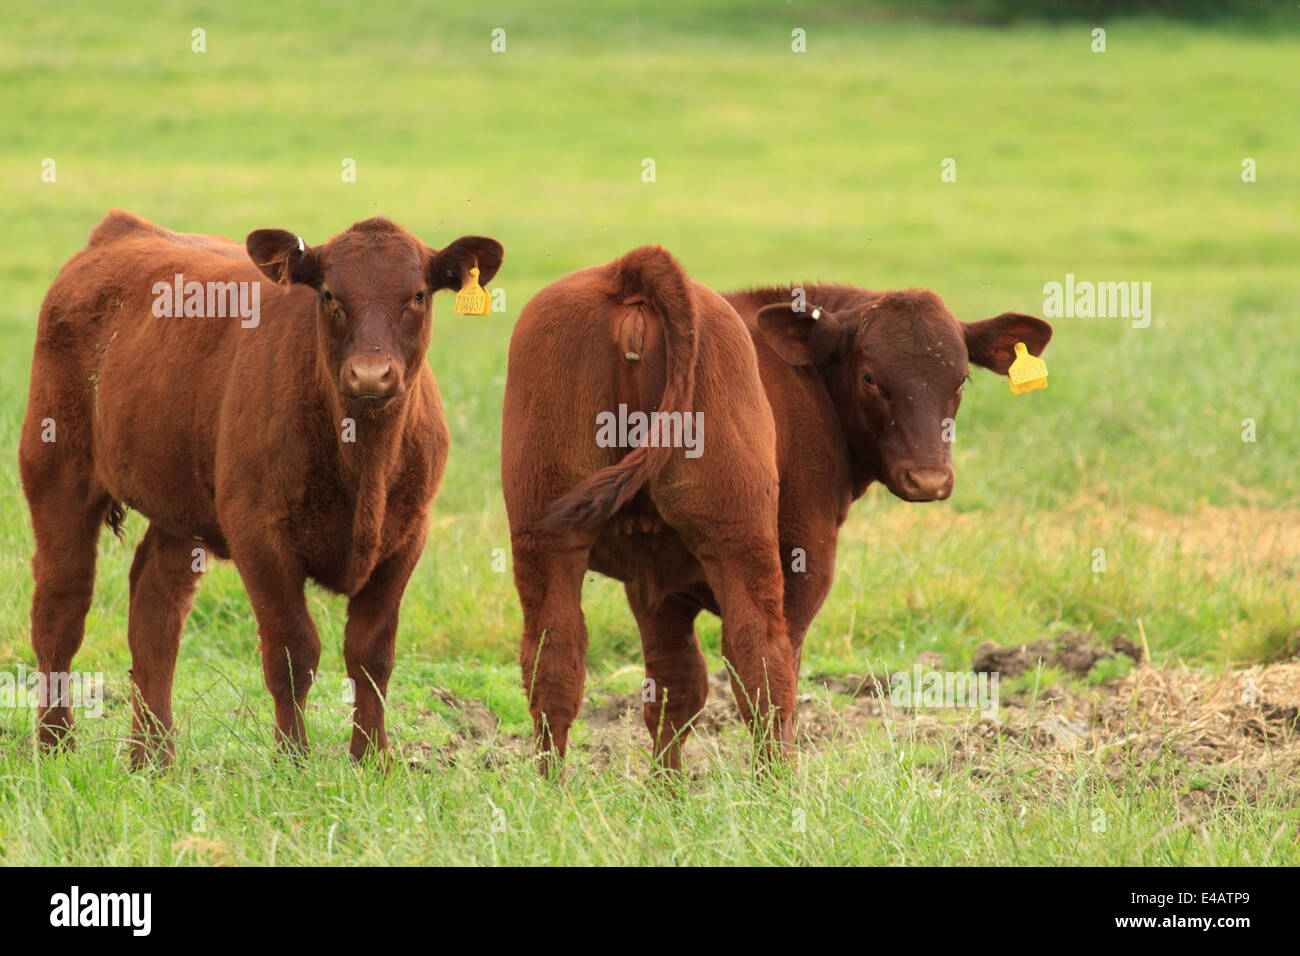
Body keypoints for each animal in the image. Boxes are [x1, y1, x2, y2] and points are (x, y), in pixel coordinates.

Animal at [19, 209, 503, 768]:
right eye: (330, 295)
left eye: (419, 295)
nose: (370, 375)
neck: (363, 459)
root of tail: (120, 230)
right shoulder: (259, 534)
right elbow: (294, 652)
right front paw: (293, 759)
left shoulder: (406, 536)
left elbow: (371, 655)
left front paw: (373, 759)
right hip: (55, 471)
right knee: (61, 606)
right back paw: (55, 746)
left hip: (180, 503)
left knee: (155, 611)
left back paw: (153, 759)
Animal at [501, 247, 1051, 776]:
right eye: (870, 376)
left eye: (960, 380)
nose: (930, 479)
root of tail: (630, 270)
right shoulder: (803, 562)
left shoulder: (655, 583)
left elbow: (674, 690)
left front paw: (667, 795)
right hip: (744, 542)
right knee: (761, 661)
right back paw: (778, 788)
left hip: (544, 536)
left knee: (554, 659)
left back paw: (554, 791)